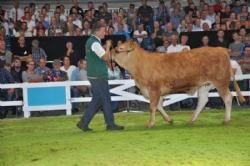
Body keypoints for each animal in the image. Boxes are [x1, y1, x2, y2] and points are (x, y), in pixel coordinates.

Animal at [112, 40, 245, 128]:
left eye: (121, 48)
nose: (112, 51)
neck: (140, 64)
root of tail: (220, 49)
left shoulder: (154, 89)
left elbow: (153, 106)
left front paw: (150, 123)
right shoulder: (157, 91)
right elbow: (159, 105)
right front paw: (169, 120)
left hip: (221, 82)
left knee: (228, 97)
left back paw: (226, 120)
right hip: (204, 85)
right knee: (203, 100)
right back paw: (191, 120)